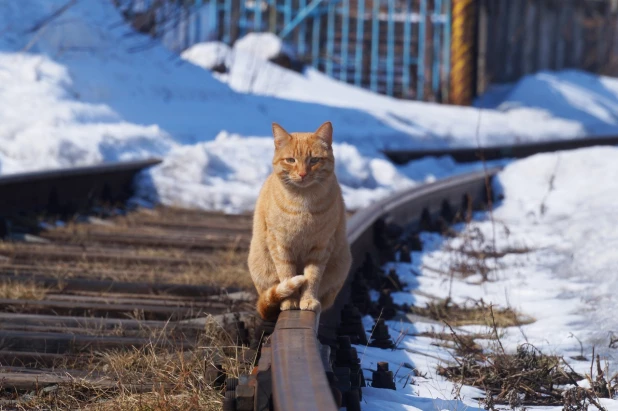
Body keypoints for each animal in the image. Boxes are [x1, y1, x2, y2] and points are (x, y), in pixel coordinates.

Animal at [247, 120, 352, 320]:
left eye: (314, 160)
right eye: (291, 160)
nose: (303, 174)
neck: (303, 203)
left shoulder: (321, 246)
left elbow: (312, 277)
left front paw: (308, 300)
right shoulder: (280, 245)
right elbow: (287, 274)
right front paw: (290, 301)